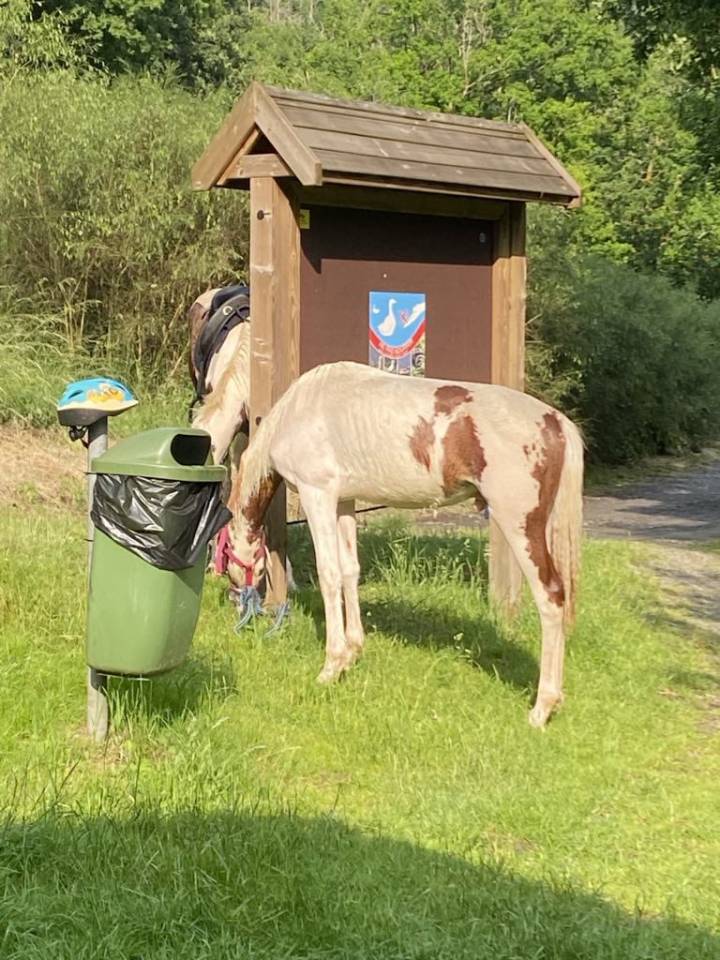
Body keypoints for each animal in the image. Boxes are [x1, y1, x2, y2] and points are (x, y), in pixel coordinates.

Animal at [222, 361, 584, 728]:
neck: (300, 408)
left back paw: (541, 708)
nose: (238, 605)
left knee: (551, 597)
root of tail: (556, 422)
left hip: (520, 526)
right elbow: (350, 571)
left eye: (227, 562)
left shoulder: (318, 495)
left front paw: (331, 667)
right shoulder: (344, 501)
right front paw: (352, 652)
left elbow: (329, 575)